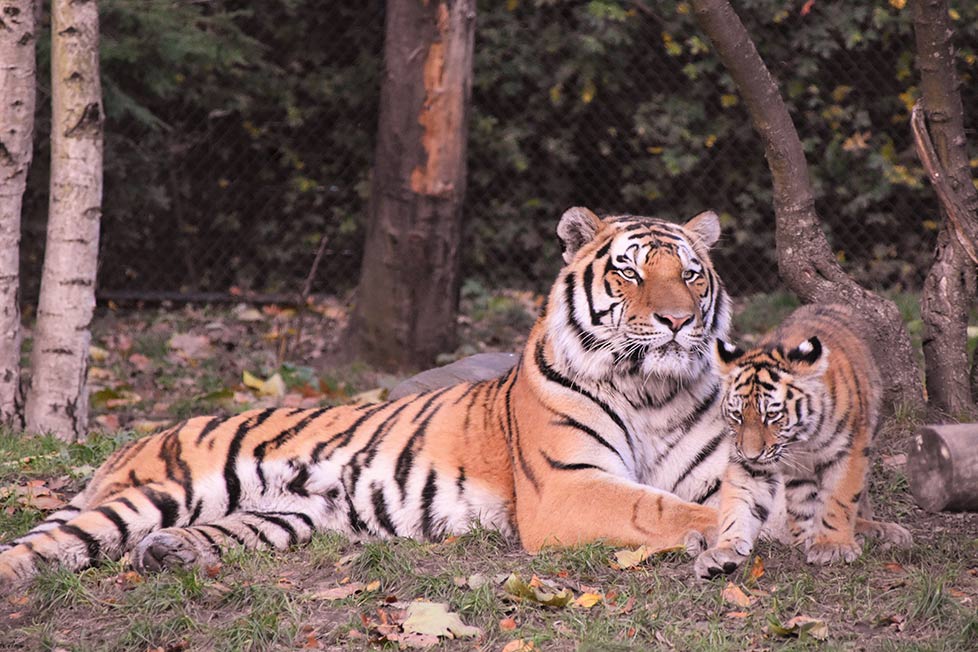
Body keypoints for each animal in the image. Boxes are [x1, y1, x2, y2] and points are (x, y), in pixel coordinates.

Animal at [0, 209, 732, 592]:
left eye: (691, 275)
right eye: (628, 272)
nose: (675, 321)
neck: (651, 391)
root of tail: (131, 442)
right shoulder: (567, 488)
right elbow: (657, 506)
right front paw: (724, 537)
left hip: (283, 517)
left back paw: (168, 555)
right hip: (162, 491)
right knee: (49, 546)